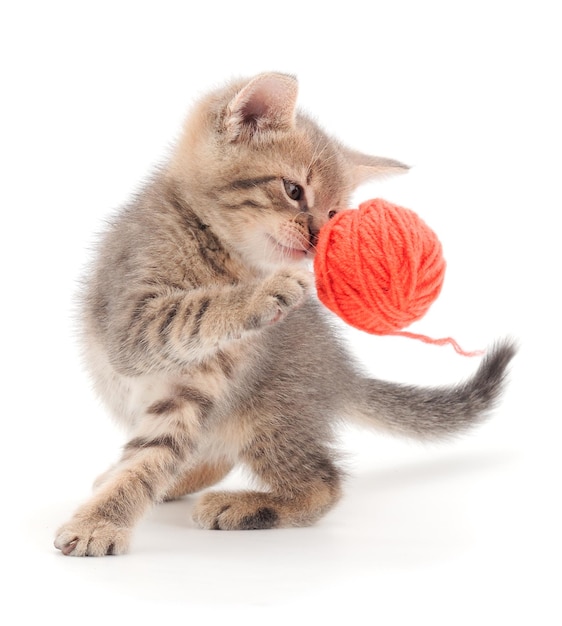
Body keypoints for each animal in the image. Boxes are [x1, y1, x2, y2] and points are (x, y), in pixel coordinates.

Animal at [54, 73, 516, 556]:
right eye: (293, 191)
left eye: (333, 213)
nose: (316, 239)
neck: (227, 258)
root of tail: (341, 373)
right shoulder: (131, 320)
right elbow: (192, 314)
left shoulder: (196, 388)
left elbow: (152, 457)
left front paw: (102, 521)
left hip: (270, 415)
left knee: (323, 483)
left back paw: (242, 505)